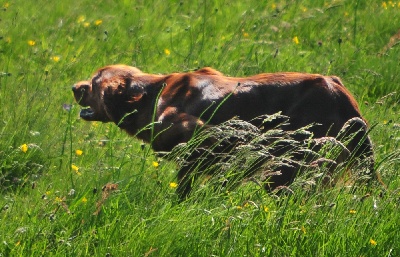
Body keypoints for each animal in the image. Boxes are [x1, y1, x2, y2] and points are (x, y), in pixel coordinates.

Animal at [72, 64, 376, 198]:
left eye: (94, 82)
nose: (74, 87)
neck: (152, 94)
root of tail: (338, 92)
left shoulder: (200, 140)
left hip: (284, 167)